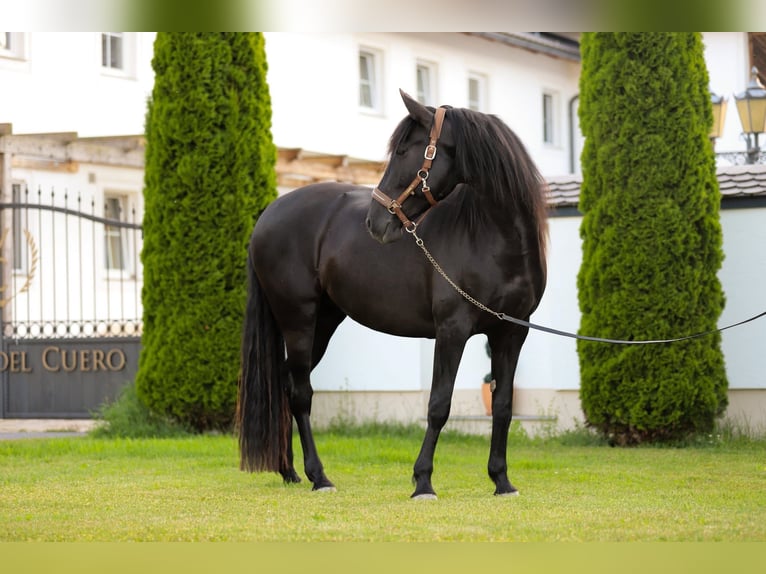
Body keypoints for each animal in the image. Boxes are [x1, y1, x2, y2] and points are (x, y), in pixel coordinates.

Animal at [237, 89, 548, 498]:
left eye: (403, 150)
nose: (375, 222)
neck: (492, 238)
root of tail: (268, 215)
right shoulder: (452, 331)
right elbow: (439, 405)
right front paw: (423, 482)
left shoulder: (512, 332)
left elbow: (503, 406)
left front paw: (501, 480)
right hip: (298, 321)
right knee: (301, 395)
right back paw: (319, 477)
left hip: (323, 323)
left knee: (288, 389)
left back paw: (290, 471)